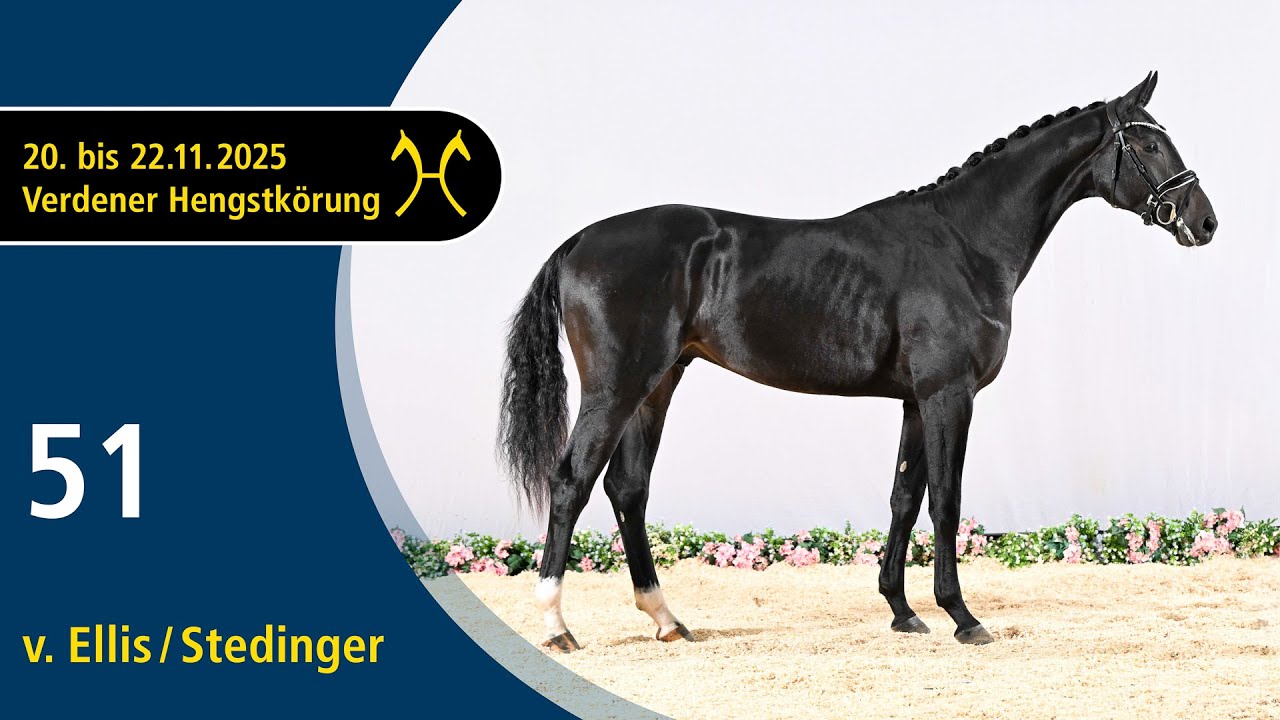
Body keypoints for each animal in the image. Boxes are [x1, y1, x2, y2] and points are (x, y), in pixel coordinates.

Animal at [497, 71, 1216, 651]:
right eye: (1149, 144)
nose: (1204, 221)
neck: (964, 243)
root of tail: (578, 242)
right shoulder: (949, 394)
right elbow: (946, 500)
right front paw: (963, 617)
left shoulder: (916, 400)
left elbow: (903, 496)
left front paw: (903, 611)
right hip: (616, 387)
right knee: (572, 482)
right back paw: (557, 628)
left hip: (657, 385)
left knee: (628, 488)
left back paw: (668, 620)